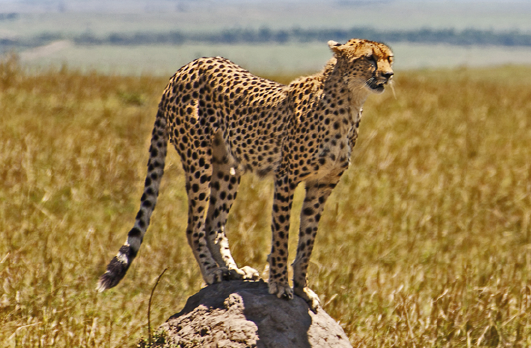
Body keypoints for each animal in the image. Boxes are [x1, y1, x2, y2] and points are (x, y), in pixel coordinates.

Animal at [97, 39, 392, 312]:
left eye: (389, 58)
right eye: (369, 58)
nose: (388, 75)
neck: (349, 101)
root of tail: (189, 65)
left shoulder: (322, 185)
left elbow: (307, 242)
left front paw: (302, 288)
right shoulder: (286, 179)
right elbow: (281, 236)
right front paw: (280, 284)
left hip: (228, 168)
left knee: (213, 224)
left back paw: (234, 270)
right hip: (198, 160)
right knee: (194, 225)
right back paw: (212, 271)